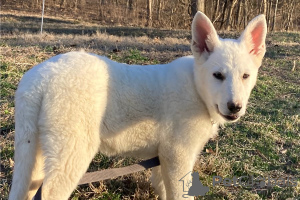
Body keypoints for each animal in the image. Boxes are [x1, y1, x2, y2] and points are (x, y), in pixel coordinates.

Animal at [8, 11, 268, 199]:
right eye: (218, 76)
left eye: (246, 76)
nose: (235, 107)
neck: (197, 88)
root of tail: (41, 79)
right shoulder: (178, 154)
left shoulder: (163, 158)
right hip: (71, 152)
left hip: (33, 149)